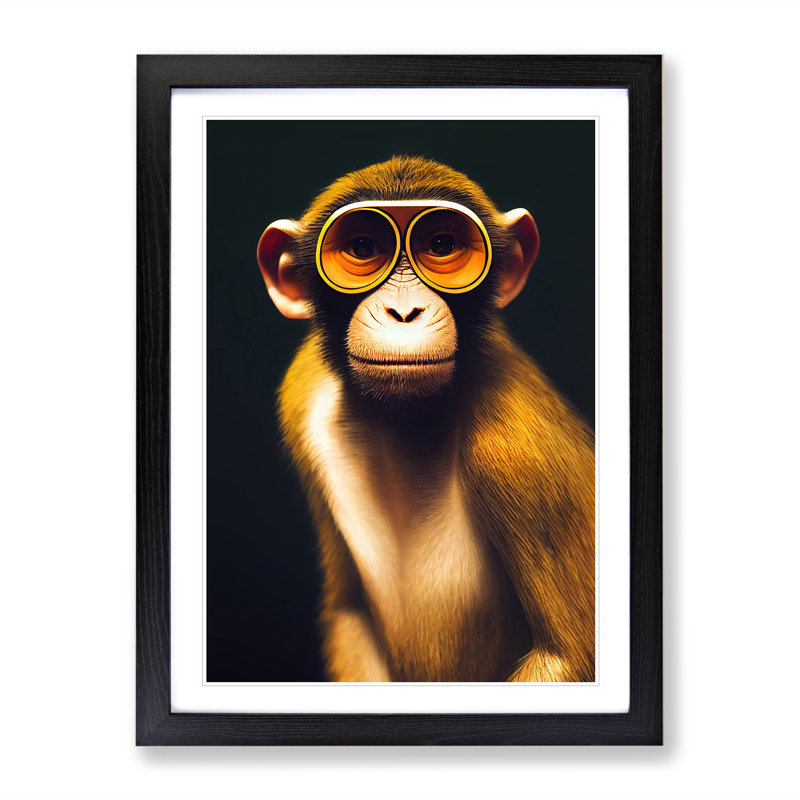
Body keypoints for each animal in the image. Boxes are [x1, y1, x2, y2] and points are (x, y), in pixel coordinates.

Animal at [256, 155, 594, 682]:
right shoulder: (301, 388)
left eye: (441, 246)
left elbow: (567, 656)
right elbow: (347, 607)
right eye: (362, 247)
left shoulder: (516, 452)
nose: (403, 311)